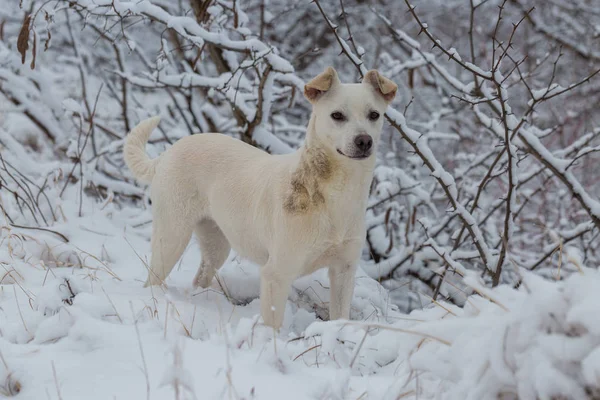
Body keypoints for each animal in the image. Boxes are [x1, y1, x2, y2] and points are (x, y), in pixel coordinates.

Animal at [124, 66, 396, 328]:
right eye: (337, 115)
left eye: (374, 115)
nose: (364, 141)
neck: (336, 194)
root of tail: (166, 154)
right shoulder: (277, 274)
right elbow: (273, 326)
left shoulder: (344, 271)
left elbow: (340, 316)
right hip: (171, 237)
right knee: (153, 277)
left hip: (217, 243)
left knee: (201, 275)